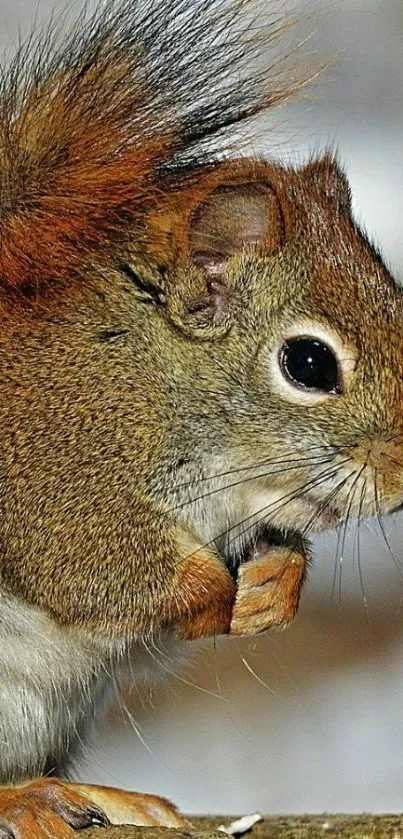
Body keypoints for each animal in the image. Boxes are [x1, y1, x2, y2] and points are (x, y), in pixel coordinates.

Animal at [0, 0, 403, 832]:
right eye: (308, 364)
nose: (402, 477)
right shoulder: (49, 476)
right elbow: (93, 570)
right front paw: (216, 593)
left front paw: (275, 584)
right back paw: (27, 798)